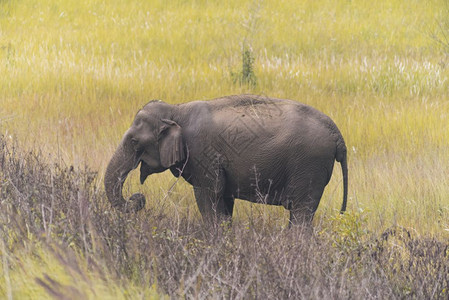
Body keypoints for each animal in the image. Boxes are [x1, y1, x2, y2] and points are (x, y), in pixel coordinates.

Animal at [104, 94, 346, 225]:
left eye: (134, 141)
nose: (138, 197)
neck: (177, 109)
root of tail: (337, 135)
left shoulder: (203, 154)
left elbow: (208, 197)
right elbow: (224, 202)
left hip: (308, 165)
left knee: (301, 214)